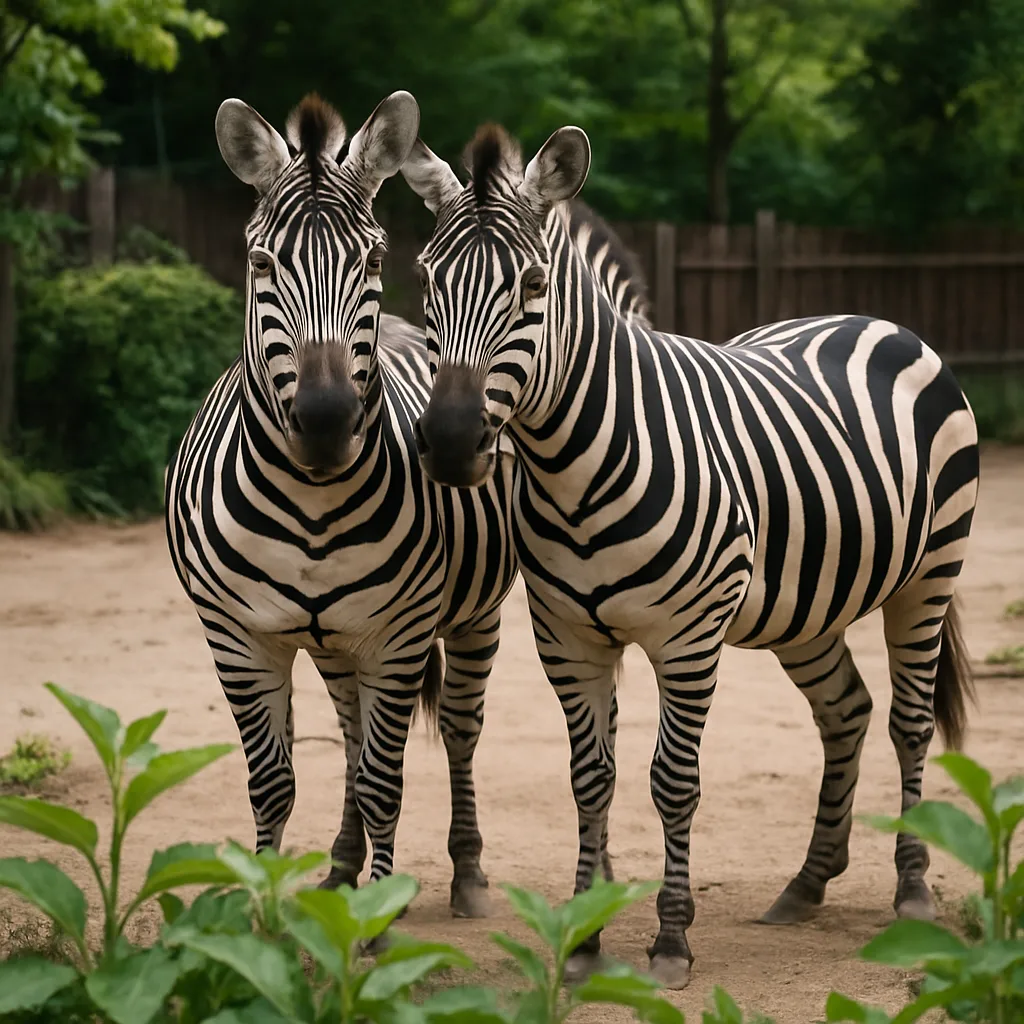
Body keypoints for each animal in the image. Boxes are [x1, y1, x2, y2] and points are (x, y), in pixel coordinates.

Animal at [164, 93, 652, 911]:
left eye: (371, 260)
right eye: (261, 263)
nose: (327, 422)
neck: (311, 501)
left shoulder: (395, 637)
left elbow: (383, 785)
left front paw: (374, 920)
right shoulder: (235, 636)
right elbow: (274, 784)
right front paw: (263, 915)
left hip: (471, 616)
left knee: (458, 728)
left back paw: (471, 872)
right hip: (337, 644)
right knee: (350, 733)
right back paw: (337, 866)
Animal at [401, 123, 979, 987]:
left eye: (533, 284)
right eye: (424, 278)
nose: (447, 443)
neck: (577, 465)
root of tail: (874, 319)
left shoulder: (688, 637)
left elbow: (672, 783)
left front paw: (670, 941)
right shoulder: (567, 637)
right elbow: (591, 779)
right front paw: (585, 940)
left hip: (930, 574)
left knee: (909, 722)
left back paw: (912, 891)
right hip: (805, 611)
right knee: (846, 711)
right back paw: (805, 885)